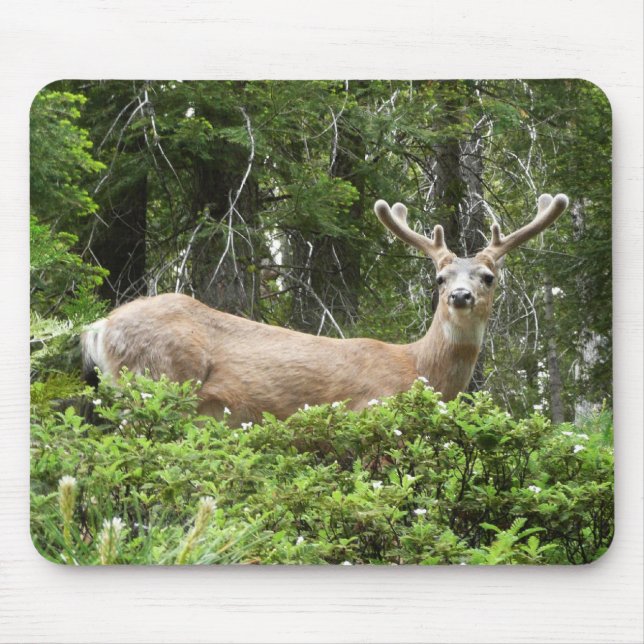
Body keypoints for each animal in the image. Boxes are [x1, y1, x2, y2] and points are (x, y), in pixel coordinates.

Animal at [82, 193, 568, 425]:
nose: (460, 296)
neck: (417, 369)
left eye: (488, 277)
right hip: (155, 379)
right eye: (439, 278)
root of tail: (100, 326)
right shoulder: (370, 412)